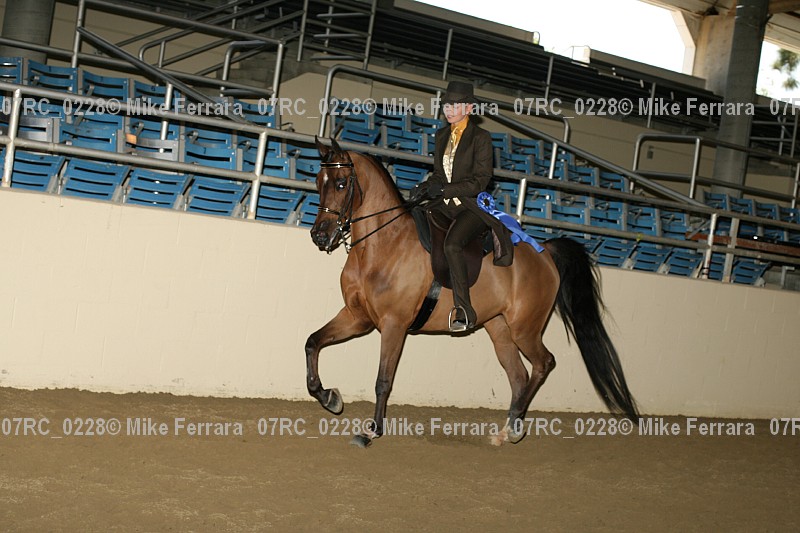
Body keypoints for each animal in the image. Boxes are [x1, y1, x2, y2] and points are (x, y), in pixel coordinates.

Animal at [305, 137, 639, 447]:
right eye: (318, 182)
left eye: (341, 183)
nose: (319, 236)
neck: (383, 244)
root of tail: (544, 252)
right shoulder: (357, 317)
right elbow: (313, 342)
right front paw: (330, 397)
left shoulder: (393, 325)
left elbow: (383, 381)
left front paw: (371, 431)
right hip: (499, 328)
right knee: (519, 375)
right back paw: (506, 431)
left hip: (525, 328)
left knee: (544, 364)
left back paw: (514, 429)